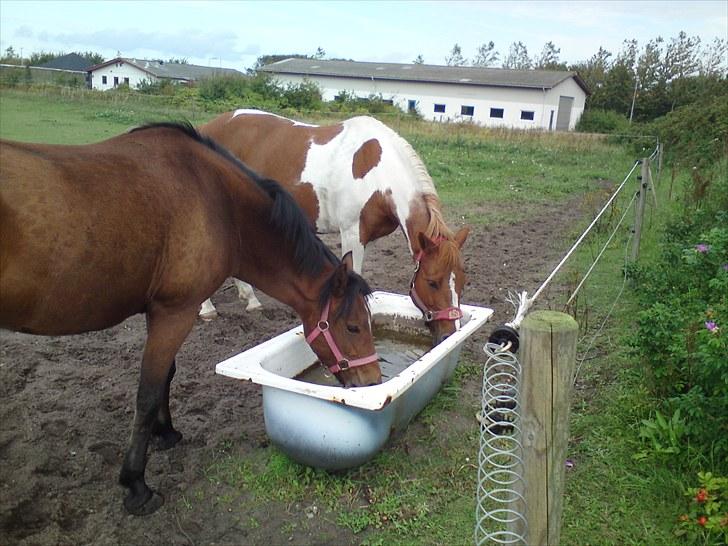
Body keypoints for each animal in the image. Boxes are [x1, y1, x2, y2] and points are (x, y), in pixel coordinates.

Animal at [1, 122, 382, 516]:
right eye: (353, 326)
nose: (372, 380)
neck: (218, 202)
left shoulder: (161, 312)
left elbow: (164, 377)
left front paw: (165, 433)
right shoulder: (176, 313)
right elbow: (147, 393)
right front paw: (137, 485)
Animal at [196, 108, 470, 342]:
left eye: (463, 280)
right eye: (432, 282)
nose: (450, 333)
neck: (377, 173)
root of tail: (207, 127)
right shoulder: (351, 234)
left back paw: (251, 299)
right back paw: (208, 309)